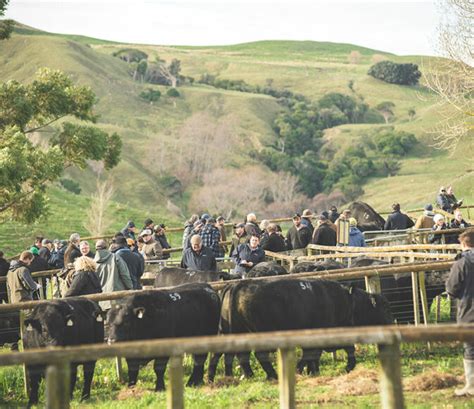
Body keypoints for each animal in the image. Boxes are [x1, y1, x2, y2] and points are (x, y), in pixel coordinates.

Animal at [208, 278, 392, 380]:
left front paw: (313, 371)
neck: (347, 302)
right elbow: (312, 354)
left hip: (230, 332)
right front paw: (302, 370)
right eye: (384, 307)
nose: (391, 322)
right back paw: (272, 375)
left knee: (232, 355)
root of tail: (238, 285)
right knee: (258, 355)